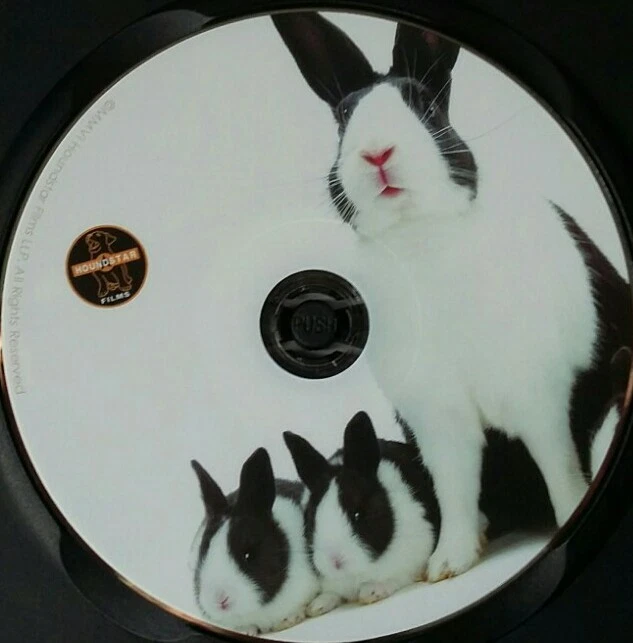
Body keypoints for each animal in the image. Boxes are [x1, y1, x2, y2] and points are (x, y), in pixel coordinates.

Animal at [272, 11, 633, 580]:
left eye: (425, 107)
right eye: (344, 119)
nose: (377, 152)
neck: (419, 235)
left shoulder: (538, 396)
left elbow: (557, 461)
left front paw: (570, 515)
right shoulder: (437, 419)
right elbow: (455, 486)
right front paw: (449, 561)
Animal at [283, 410, 441, 616]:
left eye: (357, 515)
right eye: (313, 520)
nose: (335, 562)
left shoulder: (414, 557)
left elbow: (394, 578)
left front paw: (370, 591)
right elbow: (332, 593)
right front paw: (317, 606)